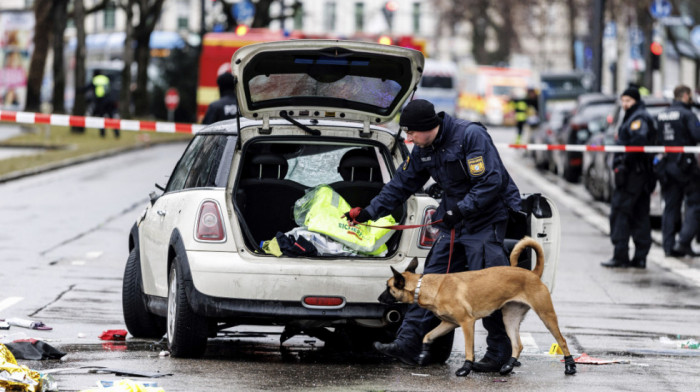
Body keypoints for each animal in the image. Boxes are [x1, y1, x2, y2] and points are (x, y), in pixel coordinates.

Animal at [380, 236, 576, 376]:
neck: (426, 286)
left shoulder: (467, 323)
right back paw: (508, 366)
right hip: (509, 319)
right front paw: (423, 354)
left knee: (562, 340)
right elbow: (427, 336)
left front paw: (466, 368)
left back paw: (570, 366)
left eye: (388, 288)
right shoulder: (448, 323)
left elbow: (469, 349)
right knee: (518, 345)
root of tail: (532, 273)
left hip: (546, 315)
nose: (379, 298)